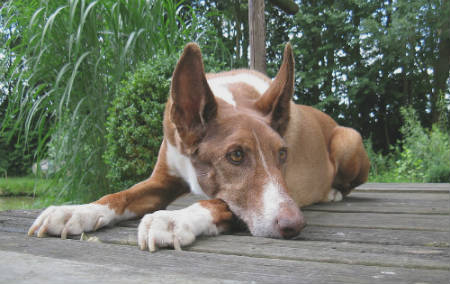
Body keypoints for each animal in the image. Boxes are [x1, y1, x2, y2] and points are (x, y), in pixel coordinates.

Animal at [28, 43, 370, 252]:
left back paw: (333, 192)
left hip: (349, 139)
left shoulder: (282, 191)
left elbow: (220, 202)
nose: (294, 225)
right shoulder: (162, 179)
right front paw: (75, 211)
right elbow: (119, 195)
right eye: (236, 155)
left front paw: (173, 220)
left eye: (283, 154)